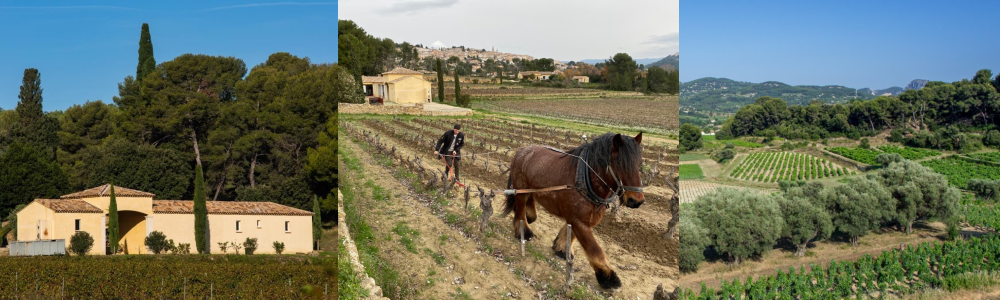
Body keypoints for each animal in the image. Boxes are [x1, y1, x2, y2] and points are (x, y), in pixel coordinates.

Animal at [500, 132, 648, 290]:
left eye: (639, 165)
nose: (637, 201)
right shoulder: (579, 220)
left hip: (530, 189)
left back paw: (530, 215)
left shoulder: (580, 218)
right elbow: (594, 249)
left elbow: (570, 234)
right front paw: (608, 277)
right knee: (520, 211)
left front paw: (560, 248)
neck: (585, 180)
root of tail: (521, 150)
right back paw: (523, 232)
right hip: (520, 190)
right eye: (619, 164)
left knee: (530, 204)